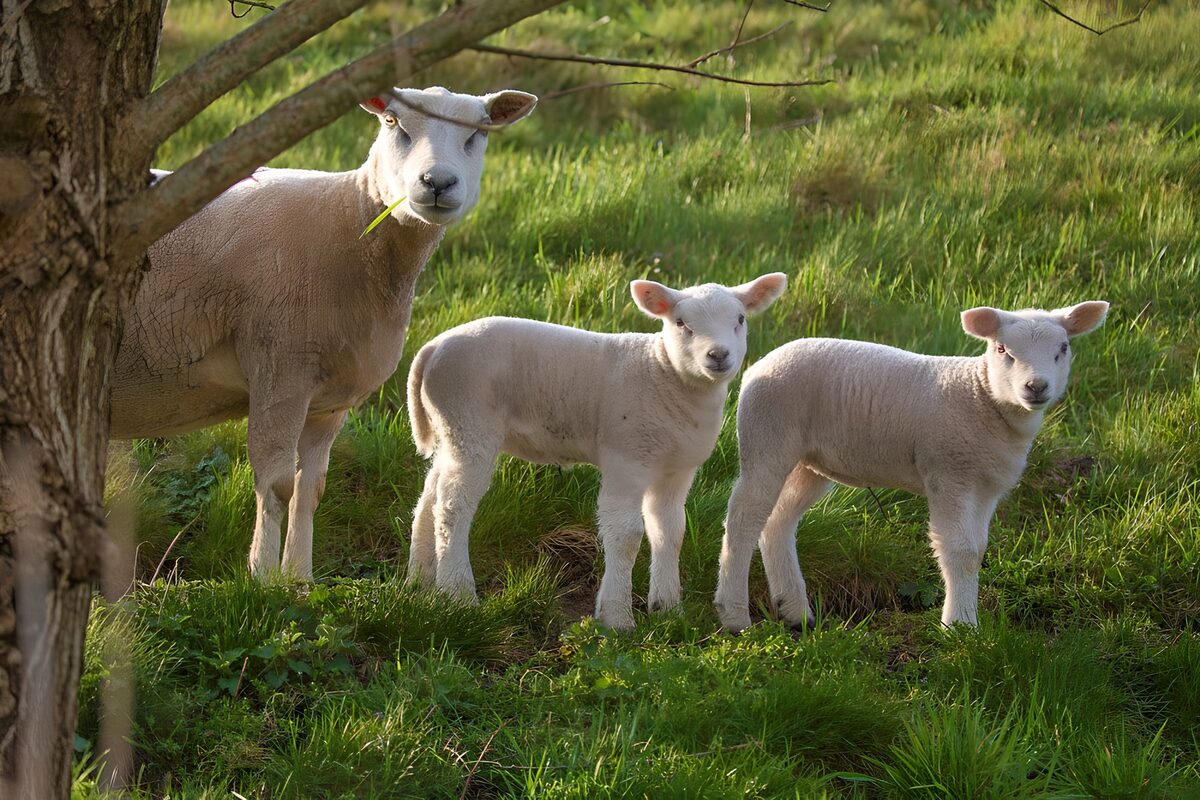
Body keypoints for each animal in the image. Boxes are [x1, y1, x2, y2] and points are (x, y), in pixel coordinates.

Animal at [110, 86, 538, 581]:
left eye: (478, 133)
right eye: (393, 122)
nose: (437, 182)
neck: (351, 223)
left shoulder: (329, 399)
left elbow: (310, 489)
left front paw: (299, 579)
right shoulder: (281, 371)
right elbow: (276, 485)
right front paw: (261, 580)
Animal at [406, 273, 788, 630]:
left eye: (740, 319)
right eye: (681, 323)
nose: (718, 355)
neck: (665, 375)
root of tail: (434, 346)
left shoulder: (677, 471)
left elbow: (670, 532)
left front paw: (668, 610)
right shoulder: (626, 459)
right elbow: (626, 534)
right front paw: (617, 617)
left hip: (452, 430)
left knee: (430, 496)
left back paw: (420, 582)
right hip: (470, 420)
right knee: (453, 506)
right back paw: (457, 594)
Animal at [713, 301, 1110, 632]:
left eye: (1063, 349)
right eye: (1002, 350)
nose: (1036, 386)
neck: (982, 397)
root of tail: (761, 364)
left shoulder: (986, 487)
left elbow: (977, 550)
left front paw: (966, 621)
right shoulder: (949, 473)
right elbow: (959, 550)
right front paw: (959, 627)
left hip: (808, 462)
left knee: (777, 521)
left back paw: (796, 613)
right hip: (767, 436)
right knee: (744, 519)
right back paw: (734, 616)